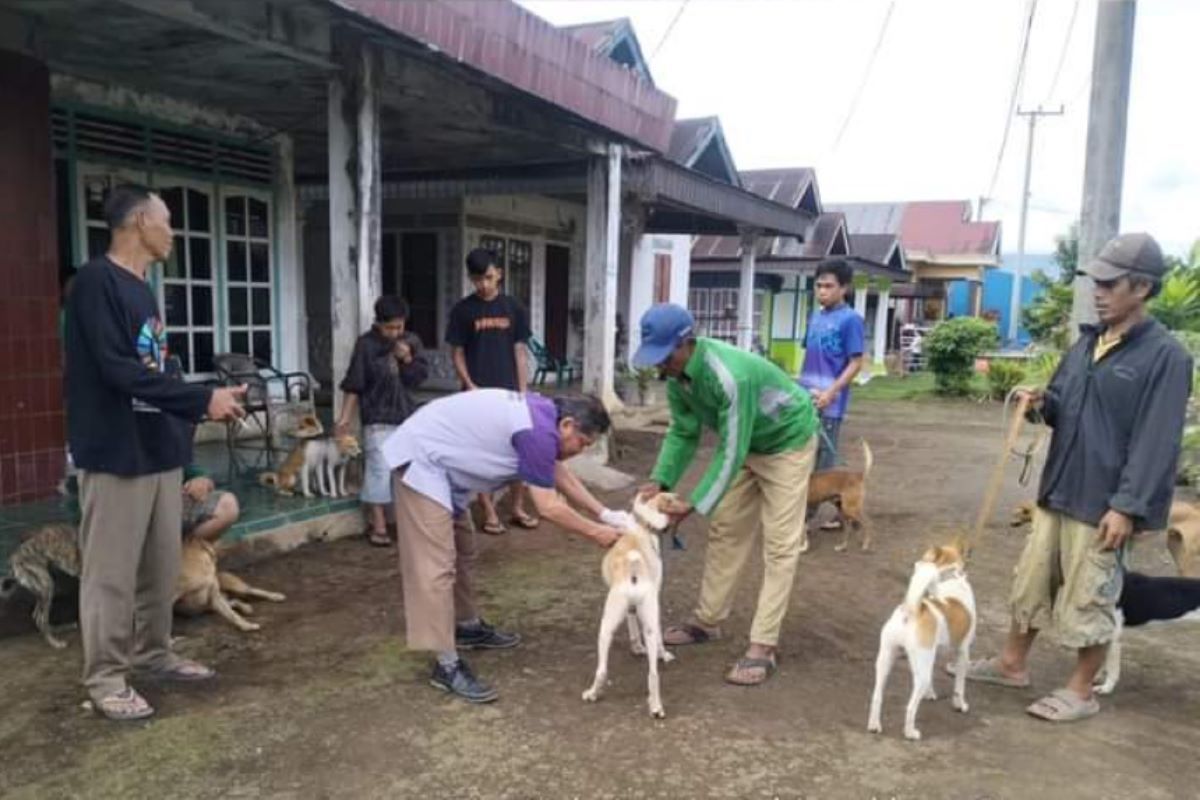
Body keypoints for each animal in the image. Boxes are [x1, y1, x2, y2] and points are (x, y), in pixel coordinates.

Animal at [0, 522, 285, 647]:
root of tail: (13, 557)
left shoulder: (213, 595)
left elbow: (232, 615)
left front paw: (245, 624)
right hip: (45, 585)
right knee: (39, 616)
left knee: (246, 593)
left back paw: (268, 599)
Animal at [580, 494, 686, 719]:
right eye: (677, 498)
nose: (691, 505)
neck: (644, 527)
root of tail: (633, 567)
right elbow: (640, 631)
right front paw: (646, 650)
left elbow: (633, 628)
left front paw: (639, 649)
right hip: (643, 625)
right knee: (652, 673)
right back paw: (655, 707)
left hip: (607, 627)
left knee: (603, 670)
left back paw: (593, 694)